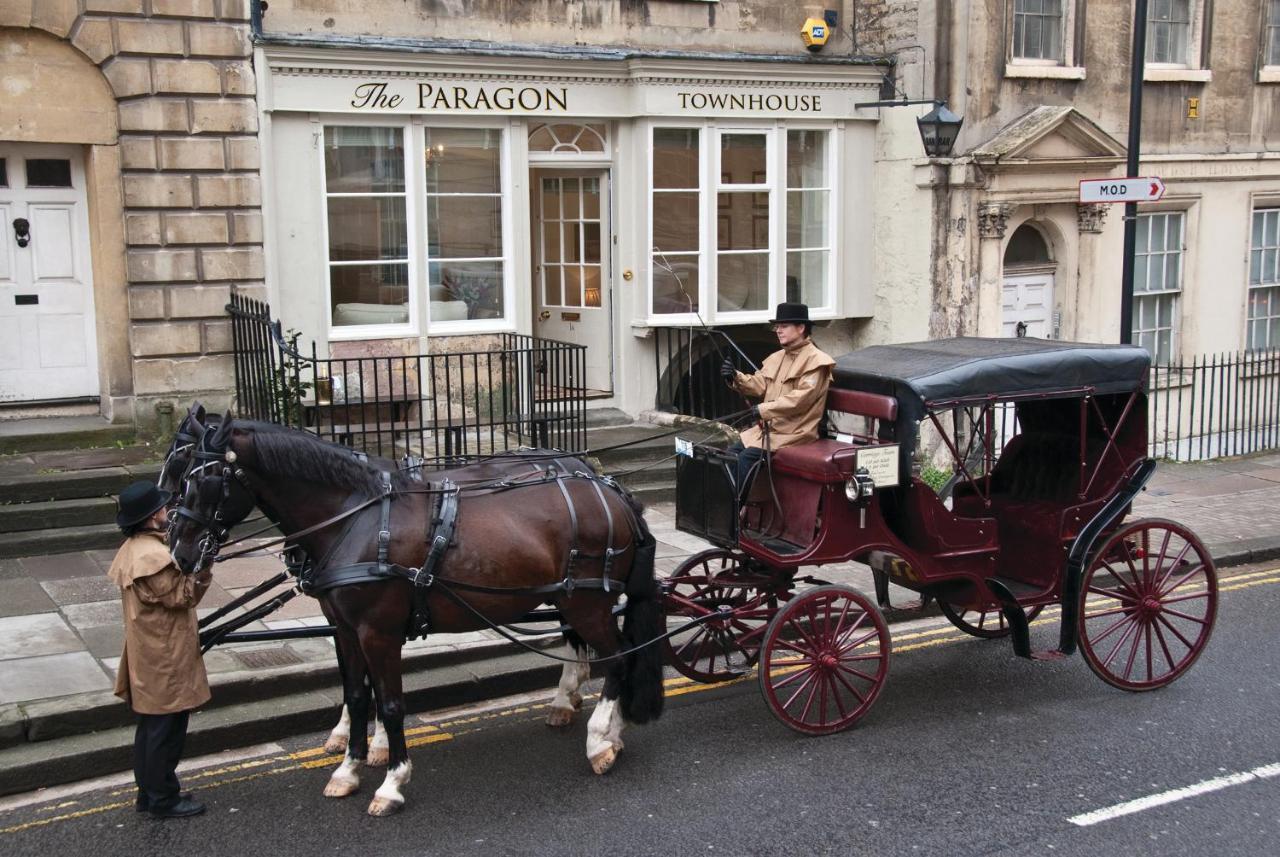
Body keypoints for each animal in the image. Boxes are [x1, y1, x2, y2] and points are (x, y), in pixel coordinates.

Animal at [166, 419, 665, 813]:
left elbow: (390, 704)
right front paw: (349, 767)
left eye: (206, 479)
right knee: (593, 648)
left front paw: (391, 780)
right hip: (567, 597)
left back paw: (599, 739)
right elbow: (357, 694)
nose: (180, 552)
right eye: (176, 474)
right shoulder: (345, 628)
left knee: (620, 657)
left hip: (588, 602)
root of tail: (611, 492)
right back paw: (596, 722)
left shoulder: (378, 631)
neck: (353, 517)